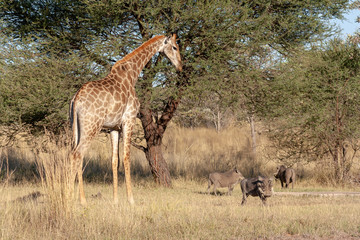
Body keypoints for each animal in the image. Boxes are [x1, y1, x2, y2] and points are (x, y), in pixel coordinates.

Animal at [69, 34, 183, 206]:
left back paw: (66, 195)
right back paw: (81, 200)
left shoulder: (113, 127)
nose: (180, 67)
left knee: (72, 153)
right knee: (78, 154)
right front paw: (131, 199)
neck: (132, 74)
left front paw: (115, 200)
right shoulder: (129, 119)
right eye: (175, 47)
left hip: (75, 127)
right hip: (91, 126)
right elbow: (126, 157)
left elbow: (114, 160)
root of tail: (76, 99)